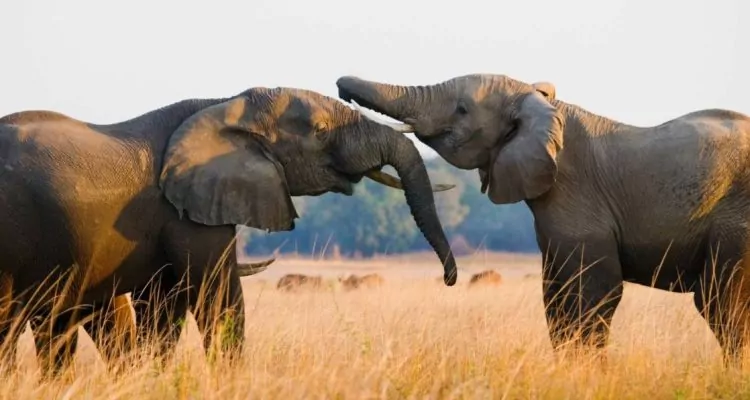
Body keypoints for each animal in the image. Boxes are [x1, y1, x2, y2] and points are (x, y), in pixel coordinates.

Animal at [0, 85, 458, 376]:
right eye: (321, 131)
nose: (449, 279)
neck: (225, 105)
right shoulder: (188, 210)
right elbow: (216, 297)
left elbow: (164, 306)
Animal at [340, 73, 750, 364]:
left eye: (461, 109)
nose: (341, 89)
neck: (537, 102)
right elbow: (555, 297)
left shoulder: (578, 197)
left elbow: (593, 292)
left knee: (721, 304)